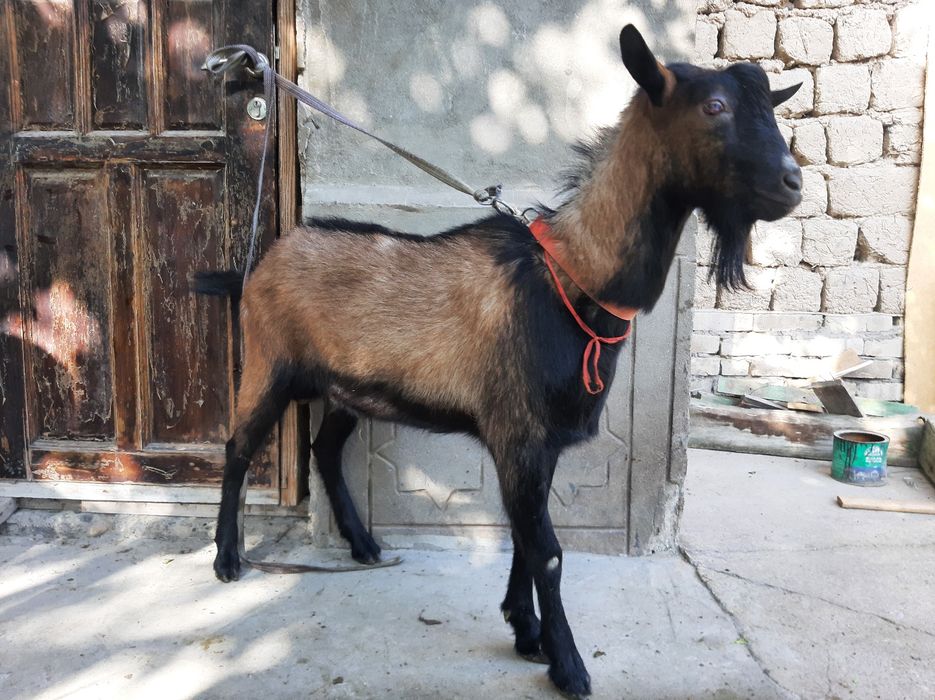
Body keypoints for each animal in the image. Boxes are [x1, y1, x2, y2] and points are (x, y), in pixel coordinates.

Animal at [196, 25, 802, 697]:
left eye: (771, 108)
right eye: (714, 107)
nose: (792, 182)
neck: (572, 278)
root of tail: (258, 267)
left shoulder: (539, 440)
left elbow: (523, 535)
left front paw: (524, 628)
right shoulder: (519, 431)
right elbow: (548, 551)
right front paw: (567, 663)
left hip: (348, 387)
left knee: (324, 448)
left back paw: (363, 545)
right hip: (268, 362)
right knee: (238, 446)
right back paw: (227, 558)